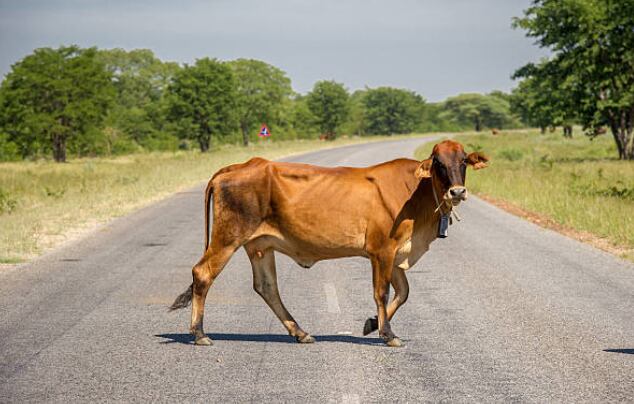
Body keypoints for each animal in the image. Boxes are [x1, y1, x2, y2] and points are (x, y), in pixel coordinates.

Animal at [170, 140, 486, 348]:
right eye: (438, 163)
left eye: (463, 162)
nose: (457, 191)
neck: (416, 194)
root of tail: (238, 166)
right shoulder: (382, 251)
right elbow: (382, 293)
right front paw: (387, 334)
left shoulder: (396, 253)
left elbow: (404, 292)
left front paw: (372, 323)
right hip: (228, 237)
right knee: (202, 274)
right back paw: (199, 334)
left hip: (259, 245)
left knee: (266, 287)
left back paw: (300, 332)